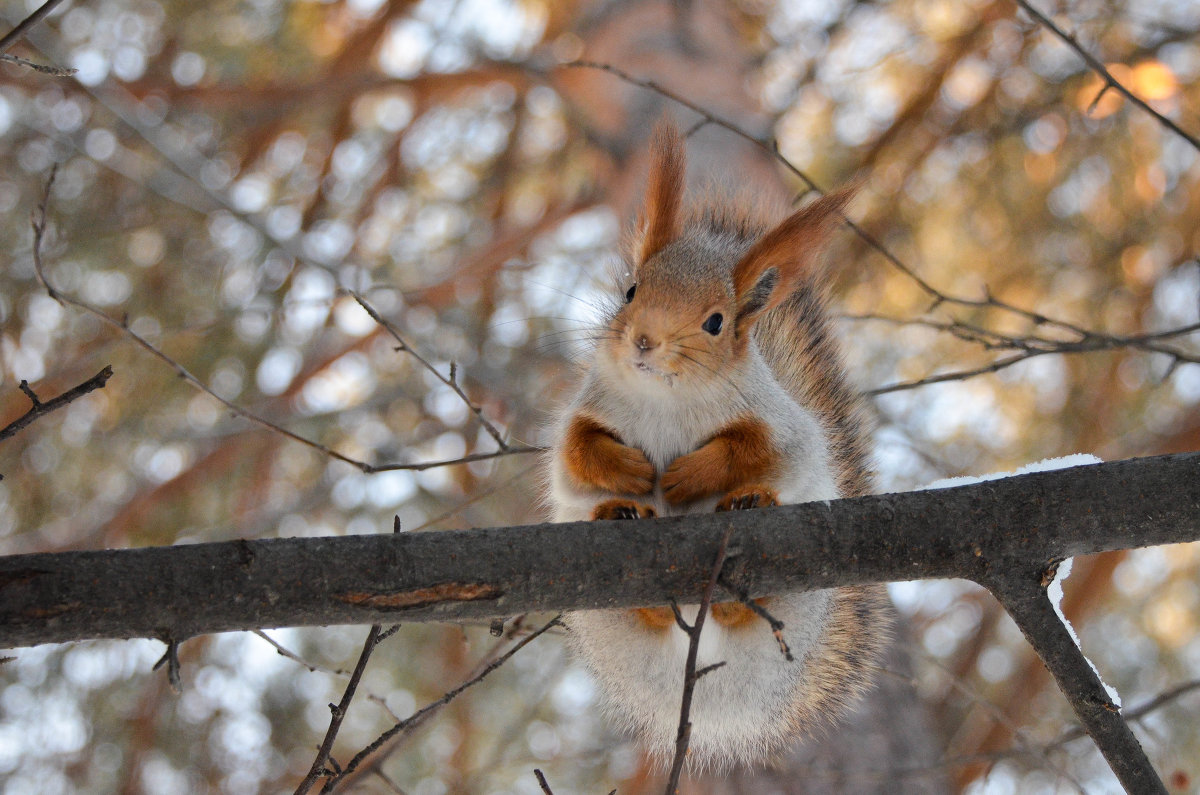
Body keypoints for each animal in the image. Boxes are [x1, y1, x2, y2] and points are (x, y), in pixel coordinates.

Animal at [547, 121, 892, 773]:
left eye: (715, 322)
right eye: (631, 290)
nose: (644, 342)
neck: (663, 397)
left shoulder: (781, 427)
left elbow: (759, 451)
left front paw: (688, 476)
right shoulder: (589, 412)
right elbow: (576, 458)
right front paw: (630, 471)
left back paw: (745, 518)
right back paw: (624, 519)